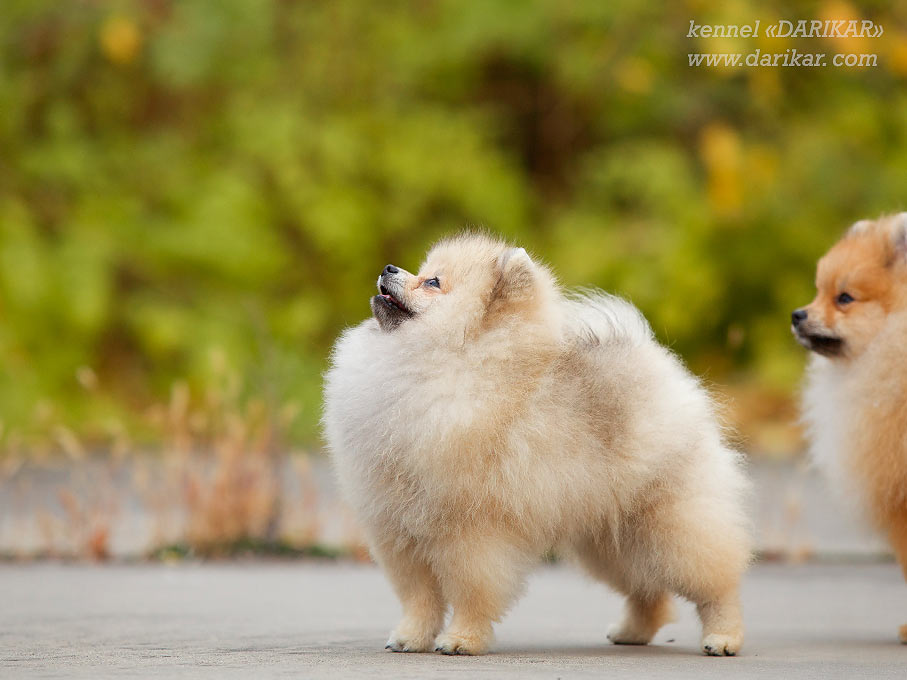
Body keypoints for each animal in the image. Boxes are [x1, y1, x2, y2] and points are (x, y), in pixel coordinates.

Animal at [322, 232, 748, 652]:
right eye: (422, 271)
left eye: (432, 282)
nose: (388, 268)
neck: (452, 361)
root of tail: (659, 364)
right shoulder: (400, 531)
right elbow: (419, 597)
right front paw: (411, 637)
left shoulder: (471, 533)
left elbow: (471, 593)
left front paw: (461, 639)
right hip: (611, 538)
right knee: (647, 590)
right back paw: (632, 632)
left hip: (670, 523)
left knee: (716, 582)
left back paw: (723, 637)